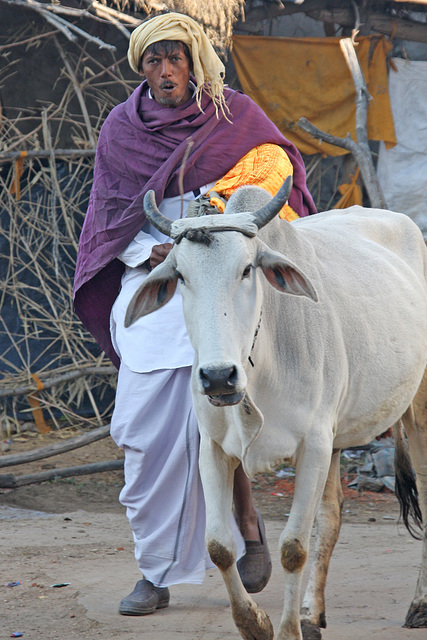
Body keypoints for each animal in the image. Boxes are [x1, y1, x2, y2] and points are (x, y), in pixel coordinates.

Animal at [124, 179, 427, 640]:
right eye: (181, 275)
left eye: (247, 269)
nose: (217, 377)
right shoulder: (215, 447)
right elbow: (218, 546)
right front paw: (256, 623)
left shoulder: (312, 446)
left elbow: (293, 549)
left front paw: (286, 631)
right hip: (337, 439)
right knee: (332, 517)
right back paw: (312, 614)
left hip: (417, 407)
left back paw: (419, 603)